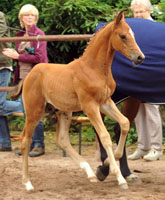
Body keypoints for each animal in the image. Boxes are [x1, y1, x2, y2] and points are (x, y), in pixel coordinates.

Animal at [13, 11, 144, 191]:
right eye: (123, 36)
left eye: (134, 34)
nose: (140, 57)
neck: (94, 69)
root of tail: (29, 76)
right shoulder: (90, 106)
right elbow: (104, 136)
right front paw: (120, 178)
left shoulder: (105, 102)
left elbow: (124, 123)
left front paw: (106, 163)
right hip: (34, 111)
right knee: (25, 140)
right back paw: (27, 183)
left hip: (63, 111)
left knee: (62, 139)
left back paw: (89, 172)